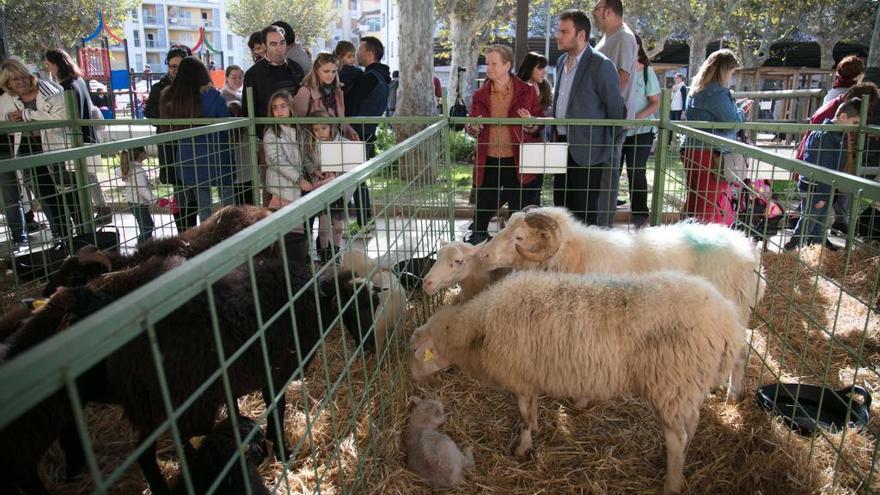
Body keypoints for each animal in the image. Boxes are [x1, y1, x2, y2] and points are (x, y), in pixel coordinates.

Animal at [410, 272, 744, 495]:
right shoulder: (530, 376)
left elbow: (523, 415)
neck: (477, 330)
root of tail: (726, 319)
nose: (412, 379)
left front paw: (523, 448)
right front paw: (535, 430)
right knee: (691, 424)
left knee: (676, 437)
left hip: (670, 382)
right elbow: (532, 409)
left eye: (417, 353)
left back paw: (671, 482)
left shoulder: (520, 376)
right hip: (687, 385)